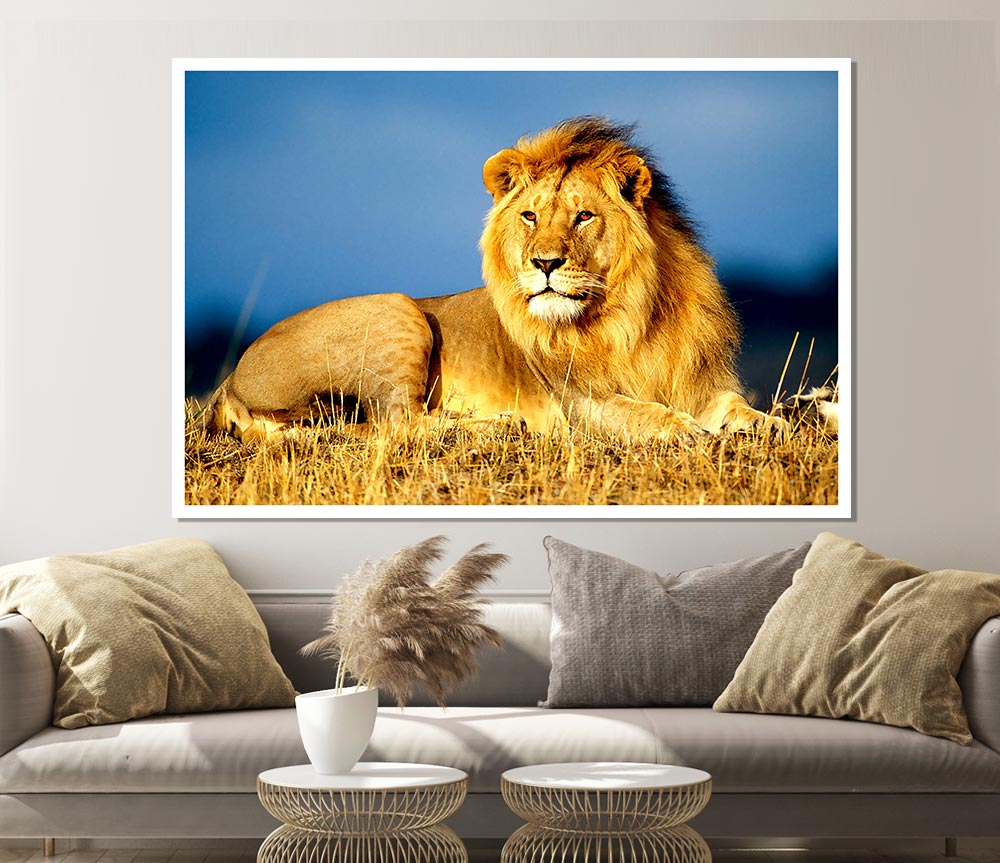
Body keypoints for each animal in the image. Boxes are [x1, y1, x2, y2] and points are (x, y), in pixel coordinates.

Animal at [206, 117, 786, 443]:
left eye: (583, 216)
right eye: (530, 216)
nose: (544, 263)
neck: (631, 316)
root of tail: (229, 382)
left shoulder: (698, 380)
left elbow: (734, 405)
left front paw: (768, 423)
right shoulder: (579, 403)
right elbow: (641, 413)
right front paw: (685, 429)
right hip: (398, 309)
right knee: (396, 425)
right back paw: (499, 426)